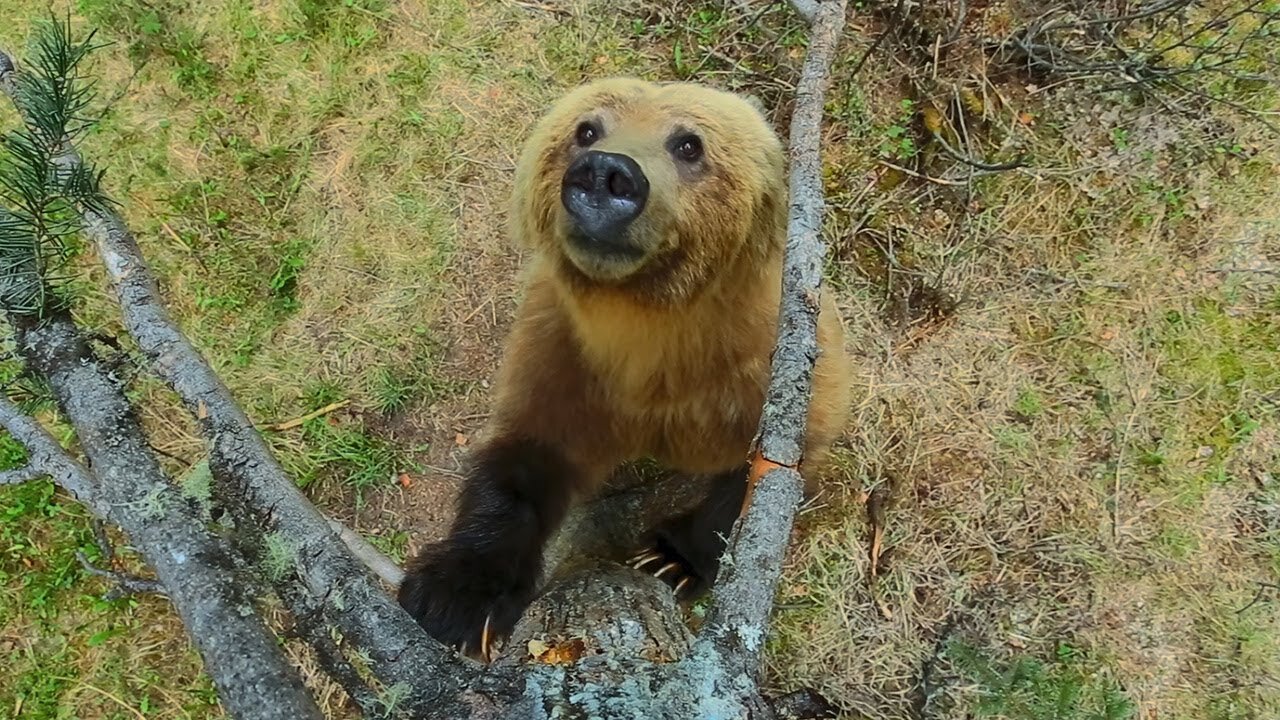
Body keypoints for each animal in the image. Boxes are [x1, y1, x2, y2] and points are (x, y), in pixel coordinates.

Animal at [394, 77, 844, 655]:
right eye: (586, 129)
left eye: (689, 143)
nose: (605, 174)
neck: (648, 341)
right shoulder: (566, 358)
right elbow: (524, 460)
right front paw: (457, 594)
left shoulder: (759, 371)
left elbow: (760, 474)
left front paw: (671, 559)